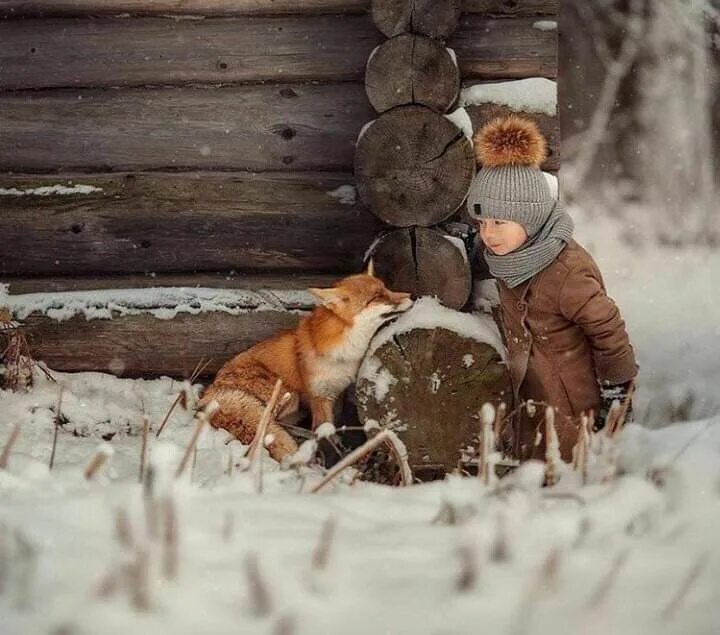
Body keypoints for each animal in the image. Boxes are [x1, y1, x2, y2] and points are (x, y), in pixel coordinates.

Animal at [198, 264, 410, 462]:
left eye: (386, 288)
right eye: (377, 297)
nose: (410, 296)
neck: (344, 354)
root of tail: (209, 392)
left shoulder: (336, 392)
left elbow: (334, 424)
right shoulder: (318, 396)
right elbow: (325, 431)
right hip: (288, 395)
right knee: (272, 422)